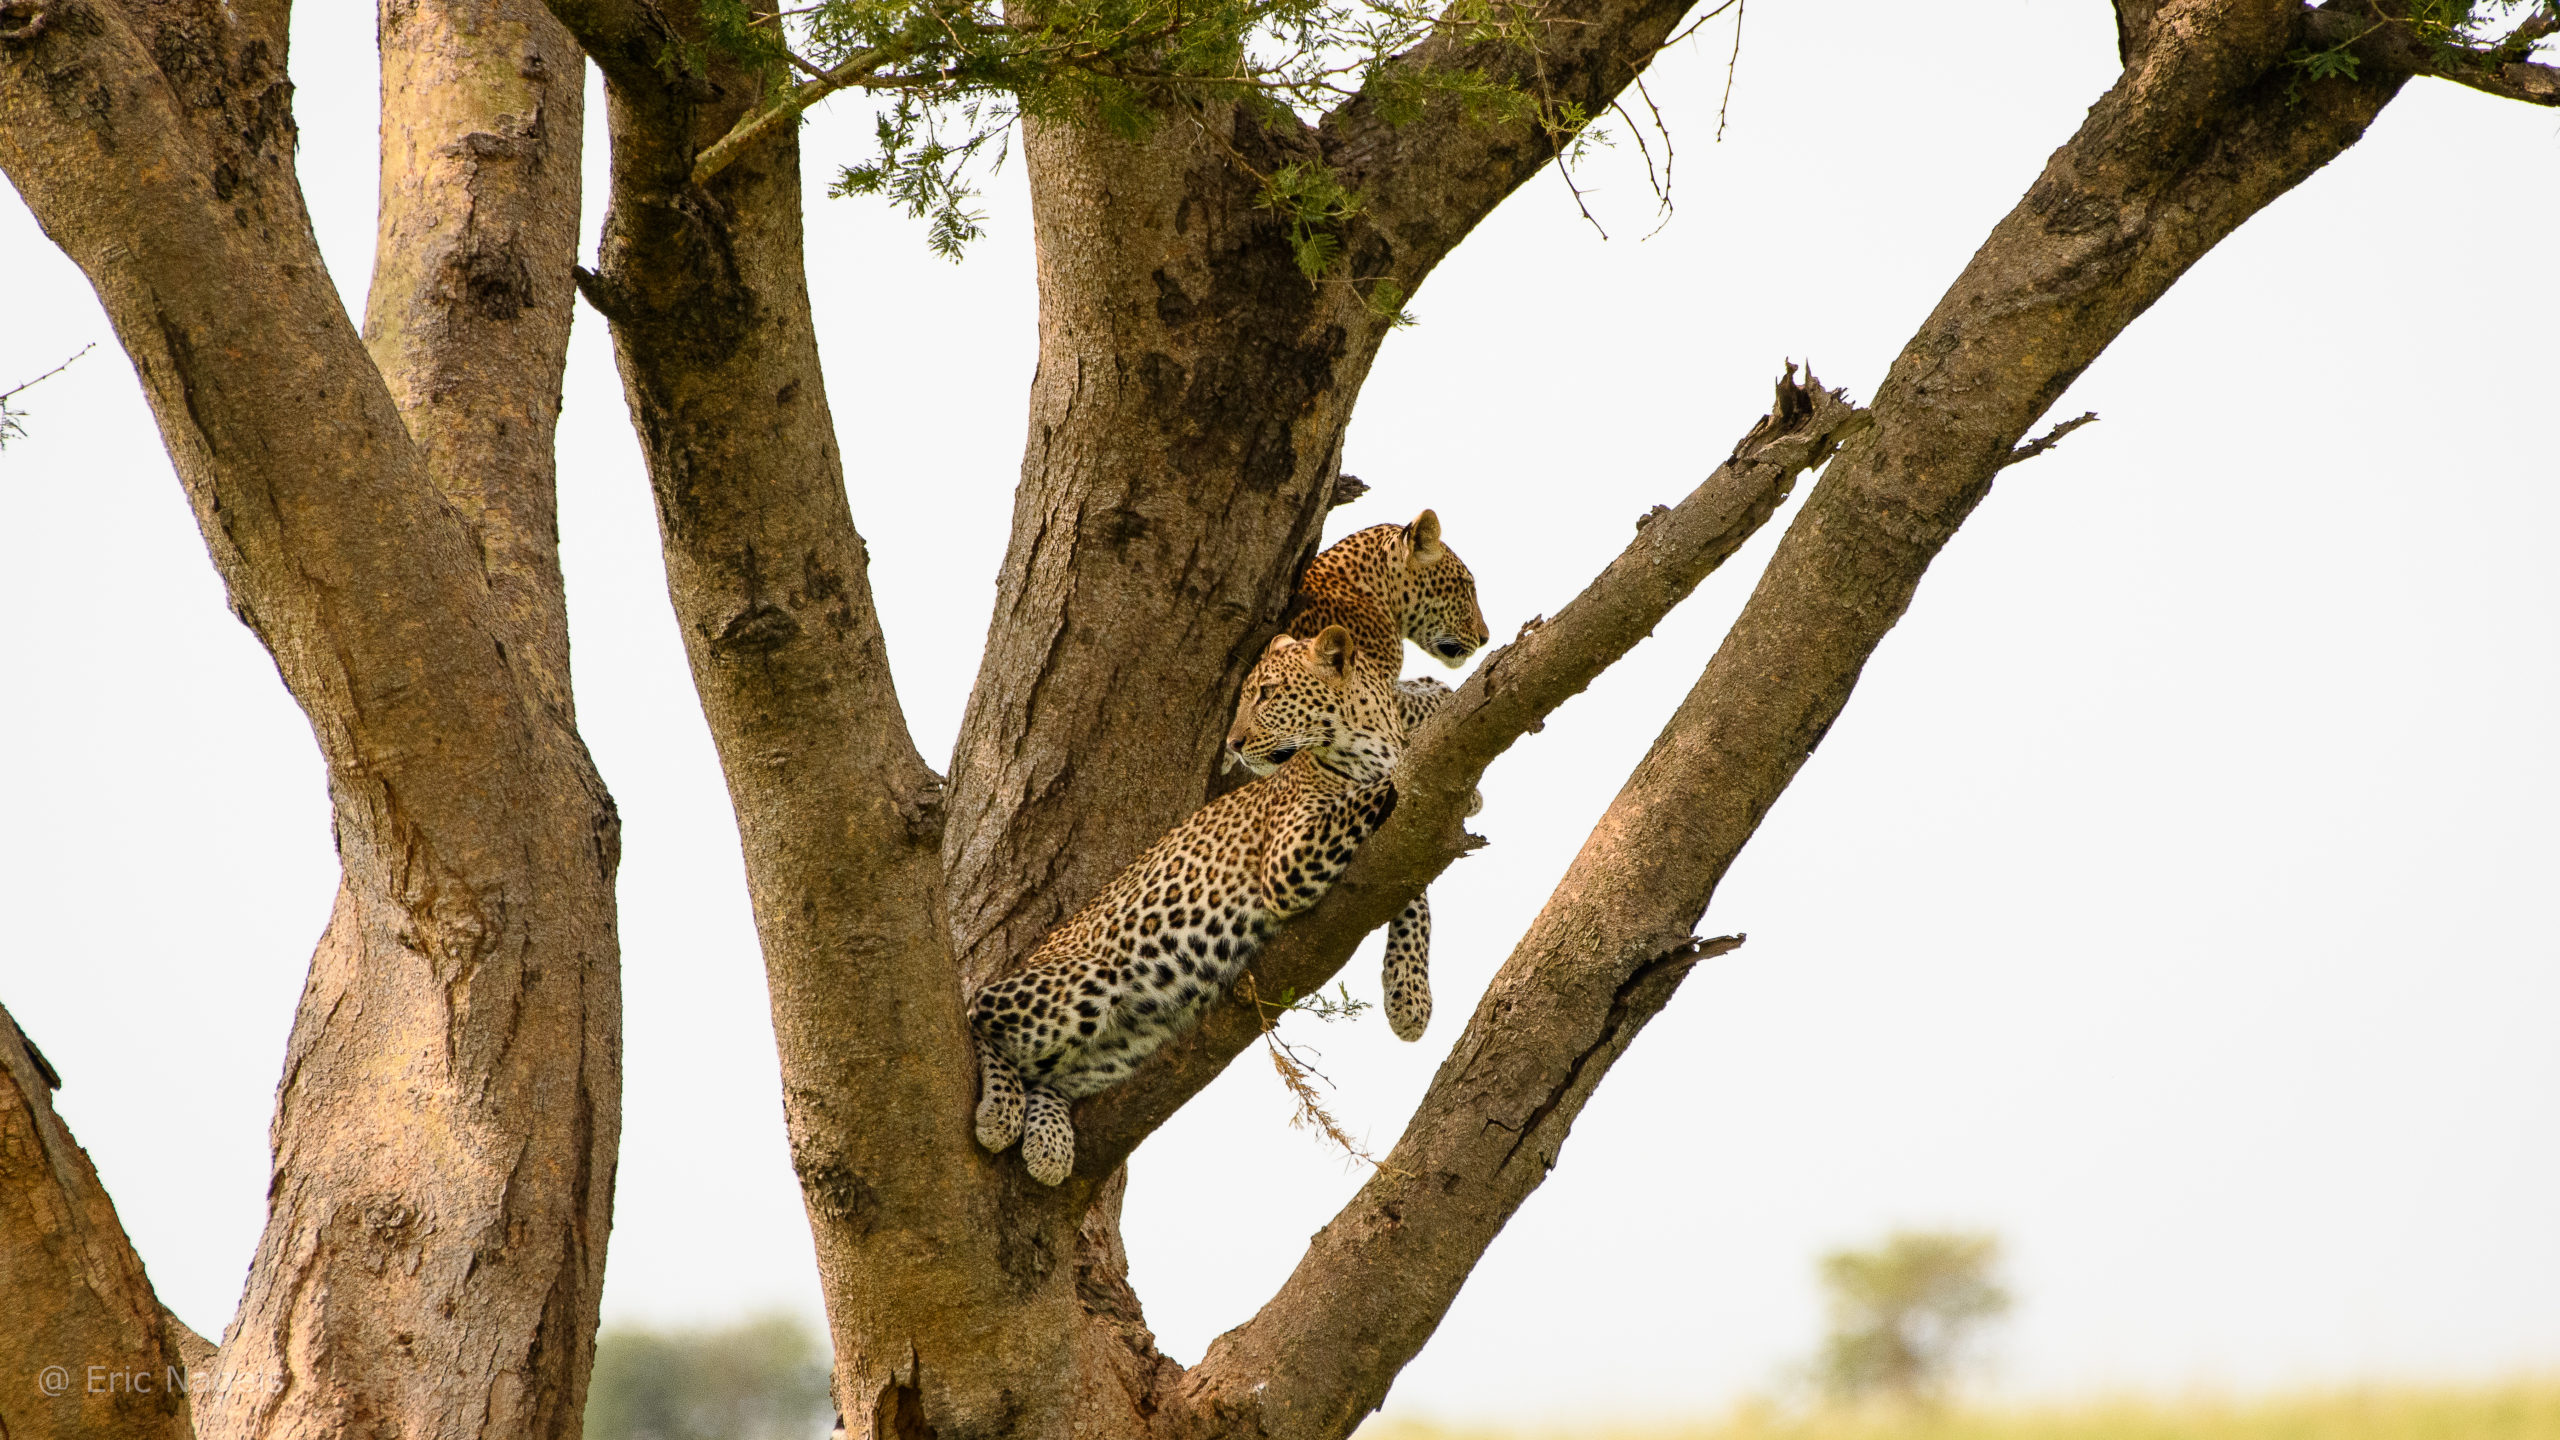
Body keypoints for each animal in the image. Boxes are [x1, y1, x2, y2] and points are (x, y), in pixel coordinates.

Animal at [971, 624, 1406, 1186]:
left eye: (1267, 694)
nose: (1234, 745)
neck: (1370, 742)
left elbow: (1415, 908)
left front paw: (1410, 999)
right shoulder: (1287, 860)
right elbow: (1367, 797)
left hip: (1123, 1046)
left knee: (1047, 1076)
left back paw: (1049, 1144)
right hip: (1088, 974)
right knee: (977, 1009)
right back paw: (1001, 1112)